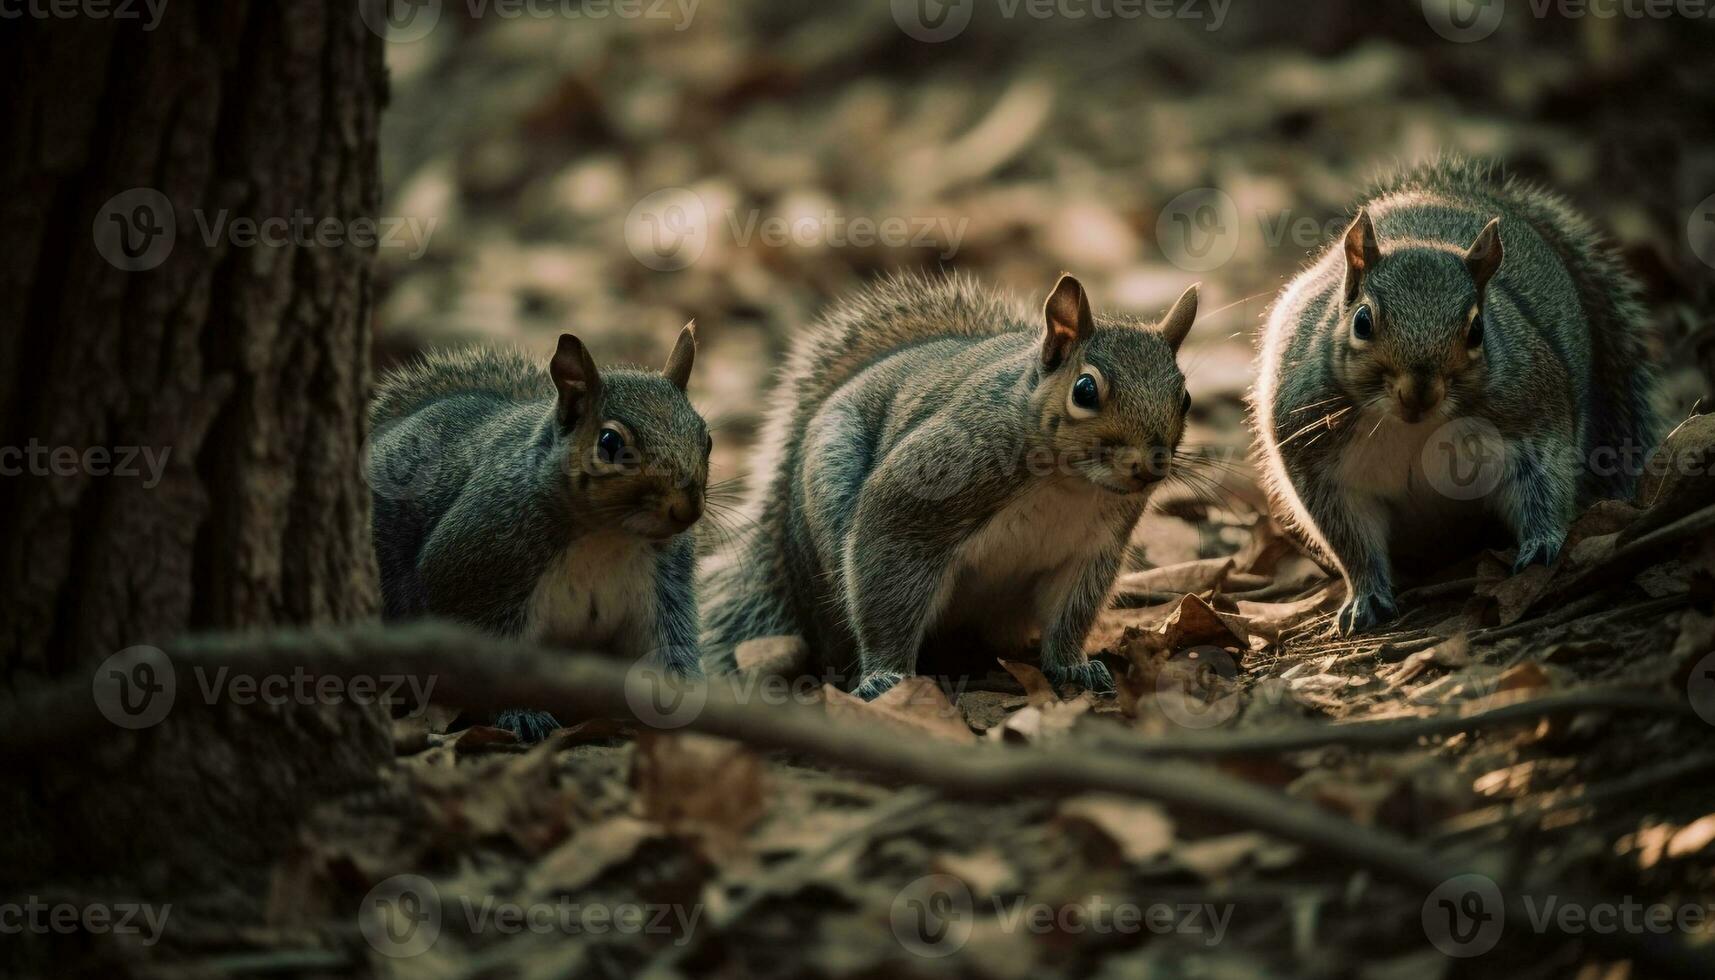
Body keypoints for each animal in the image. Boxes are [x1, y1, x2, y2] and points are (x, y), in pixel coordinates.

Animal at [368, 326, 710, 741]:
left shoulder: (663, 586)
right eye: (610, 443)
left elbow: (669, 643)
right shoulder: (476, 567)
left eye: (707, 438)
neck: (607, 535)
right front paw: (522, 715)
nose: (686, 508)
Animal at [696, 272, 1193, 700]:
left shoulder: (1091, 549)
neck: (1070, 483)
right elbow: (887, 578)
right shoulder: (923, 488)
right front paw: (887, 675)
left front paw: (1073, 666)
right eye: (1085, 390)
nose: (1151, 463)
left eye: (1185, 397)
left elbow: (1070, 614)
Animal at [1248, 158, 1660, 635]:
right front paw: (1366, 596)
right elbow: (1350, 538)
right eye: (1362, 321)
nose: (1418, 394)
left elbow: (1543, 485)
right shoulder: (1318, 460)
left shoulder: (1534, 425)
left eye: (1477, 330)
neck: (1413, 427)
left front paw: (1541, 545)